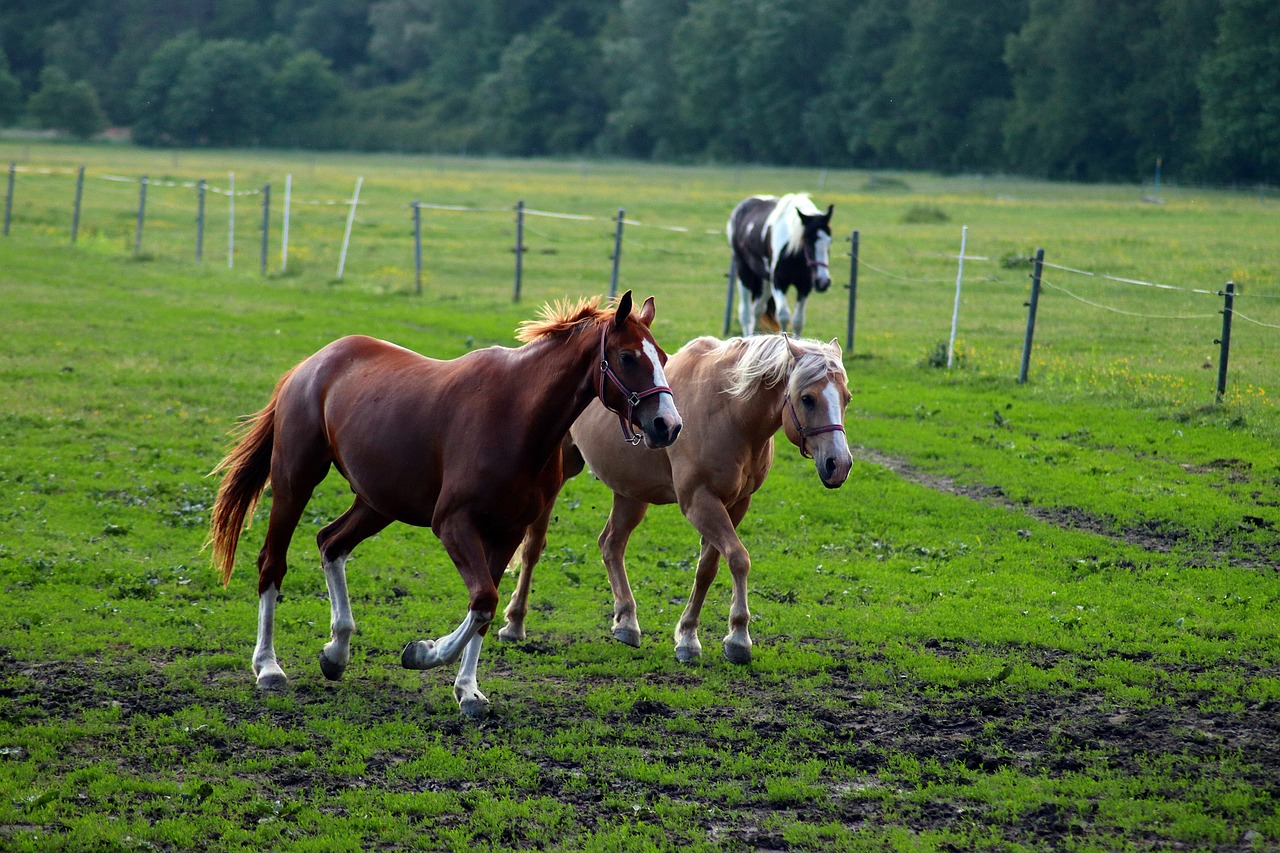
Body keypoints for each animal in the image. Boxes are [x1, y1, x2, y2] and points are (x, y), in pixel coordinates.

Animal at [209, 289, 686, 712]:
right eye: (628, 357)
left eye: (663, 358)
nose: (668, 425)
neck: (518, 415)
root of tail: (311, 365)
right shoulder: (454, 524)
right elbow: (484, 600)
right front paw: (425, 653)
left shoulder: (508, 532)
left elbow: (486, 607)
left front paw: (468, 690)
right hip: (296, 481)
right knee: (272, 562)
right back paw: (268, 667)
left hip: (377, 503)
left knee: (331, 542)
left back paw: (337, 650)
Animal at [499, 330, 849, 655]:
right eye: (807, 398)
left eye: (846, 398)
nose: (839, 464)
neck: (729, 411)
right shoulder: (699, 501)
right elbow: (738, 558)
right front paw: (737, 637)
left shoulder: (736, 504)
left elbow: (708, 568)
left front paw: (689, 636)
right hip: (559, 475)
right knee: (533, 547)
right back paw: (515, 622)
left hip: (631, 493)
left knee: (611, 544)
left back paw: (627, 622)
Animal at [727, 192, 834, 335]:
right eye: (807, 240)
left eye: (829, 241)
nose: (823, 282)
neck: (794, 254)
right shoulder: (779, 282)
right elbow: (783, 315)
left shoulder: (804, 286)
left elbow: (798, 321)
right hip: (744, 271)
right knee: (745, 313)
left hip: (765, 280)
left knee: (758, 310)